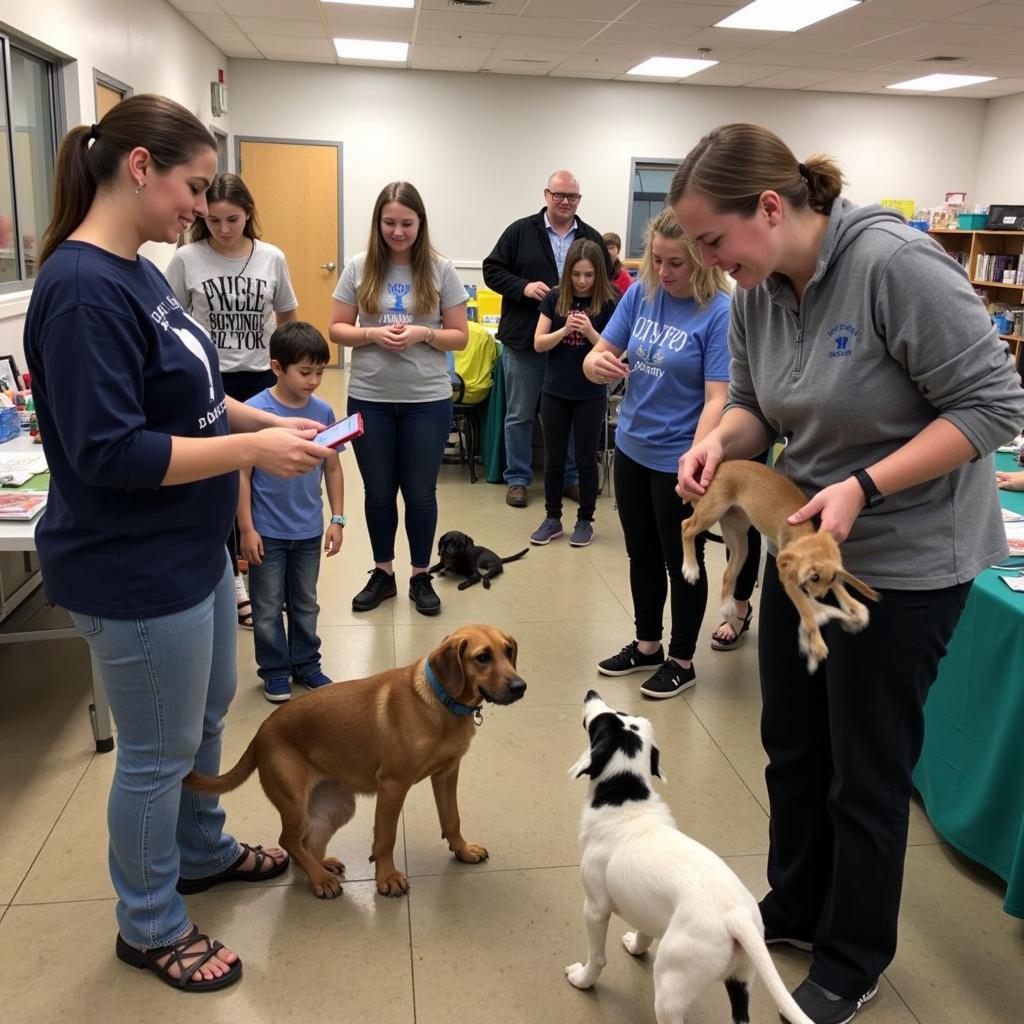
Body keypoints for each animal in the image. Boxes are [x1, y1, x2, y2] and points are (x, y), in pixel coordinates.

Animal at [182, 622, 528, 897]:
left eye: (508, 651)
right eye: (482, 657)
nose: (520, 687)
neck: (442, 705)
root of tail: (260, 734)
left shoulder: (446, 773)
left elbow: (452, 818)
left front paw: (463, 850)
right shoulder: (393, 785)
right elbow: (385, 838)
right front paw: (387, 878)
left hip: (334, 807)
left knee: (307, 841)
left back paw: (321, 865)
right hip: (294, 802)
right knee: (289, 840)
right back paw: (320, 879)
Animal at [565, 692, 811, 1024]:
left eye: (607, 718)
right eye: (622, 714)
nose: (591, 693)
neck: (624, 796)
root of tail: (735, 916)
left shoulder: (595, 908)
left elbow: (597, 957)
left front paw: (583, 979)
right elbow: (644, 932)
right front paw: (636, 946)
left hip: (671, 986)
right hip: (741, 978)